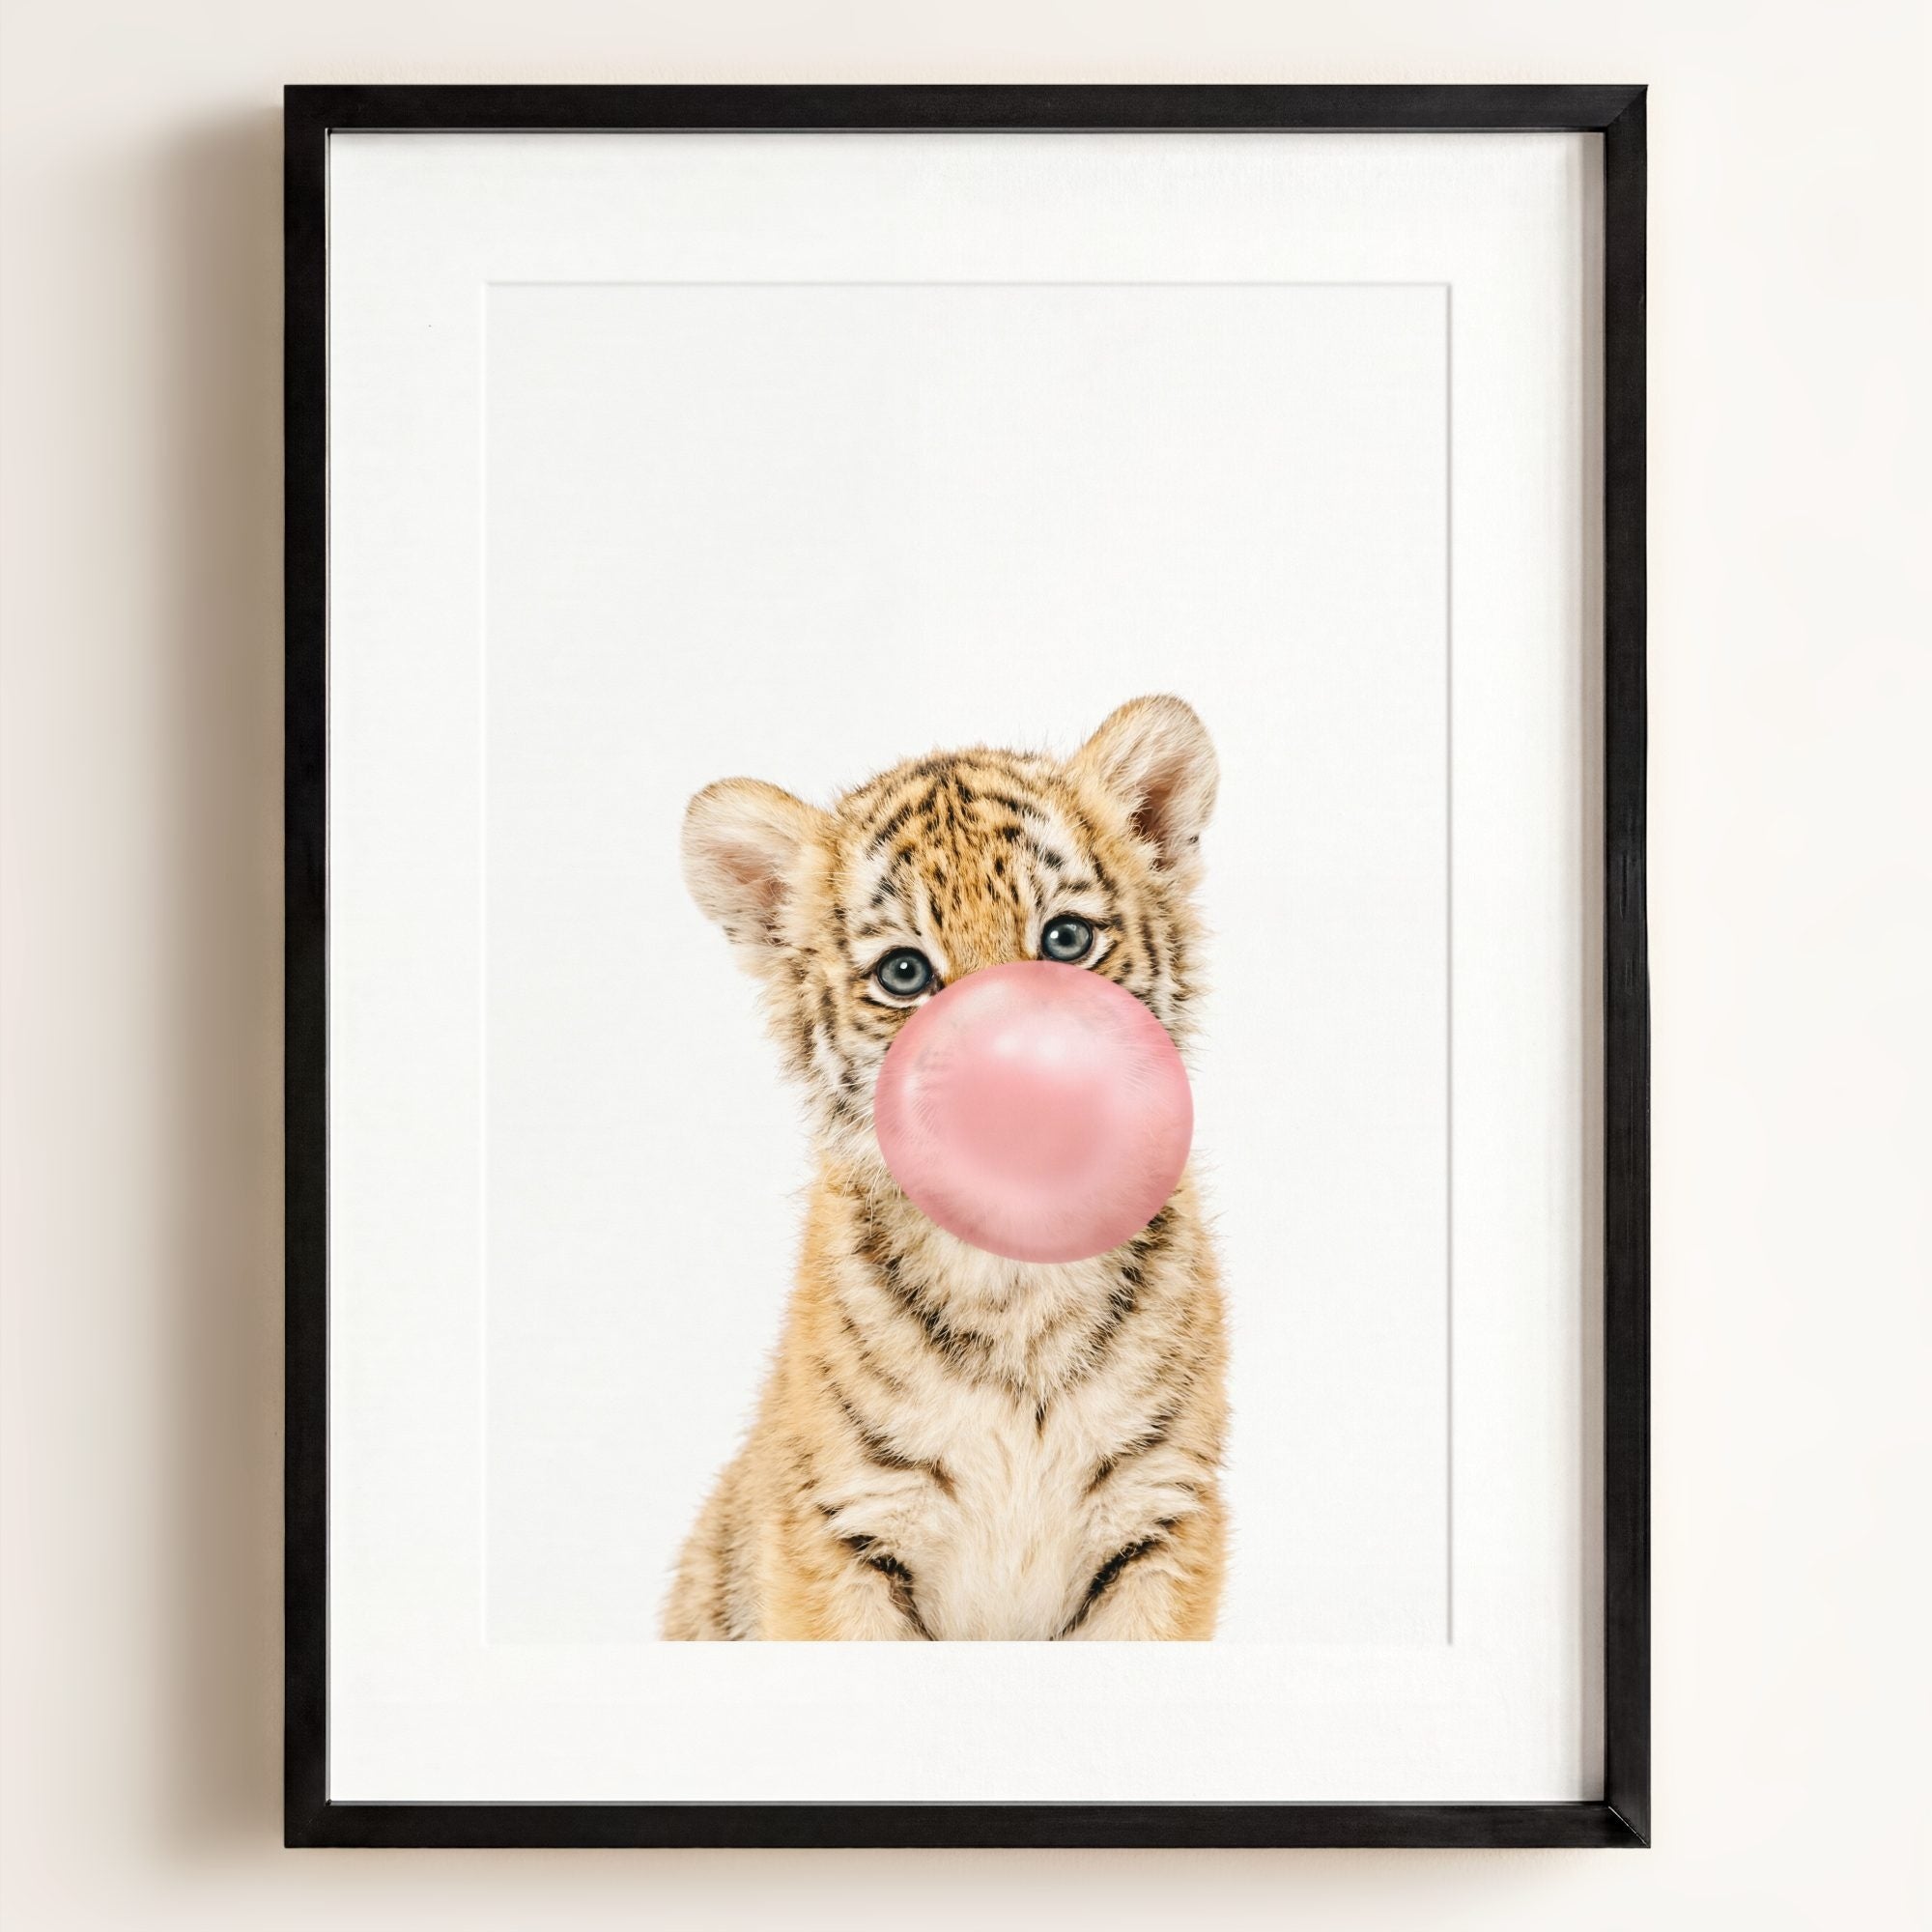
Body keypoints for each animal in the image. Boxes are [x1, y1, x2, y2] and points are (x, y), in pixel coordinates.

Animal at [662, 694, 1227, 1640]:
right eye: (905, 973)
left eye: (1065, 939)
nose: (1018, 1082)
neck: (1019, 1280)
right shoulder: (840, 1530)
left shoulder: (1162, 1517)